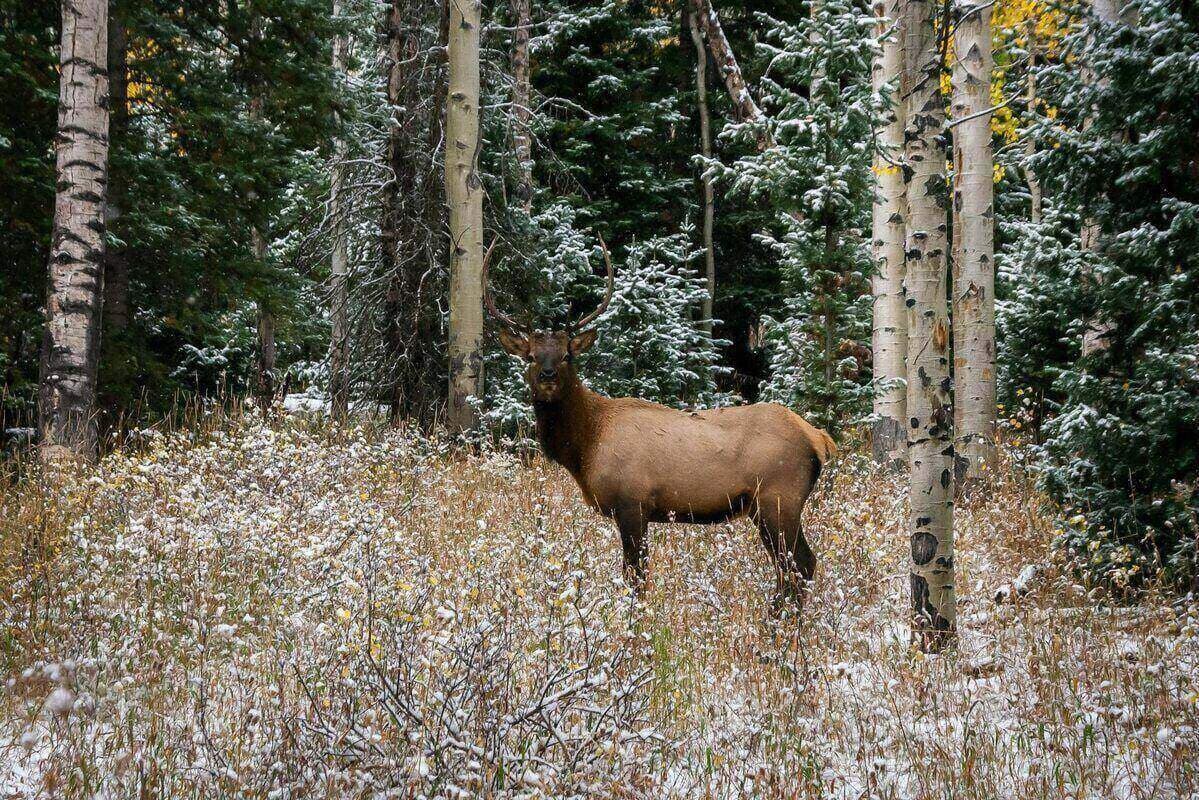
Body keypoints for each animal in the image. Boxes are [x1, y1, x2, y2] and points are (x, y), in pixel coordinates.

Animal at [485, 236, 836, 611]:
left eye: (568, 355)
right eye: (531, 356)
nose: (548, 377)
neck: (585, 445)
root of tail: (819, 439)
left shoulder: (632, 502)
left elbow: (636, 578)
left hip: (779, 498)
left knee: (799, 564)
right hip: (768, 505)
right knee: (796, 566)